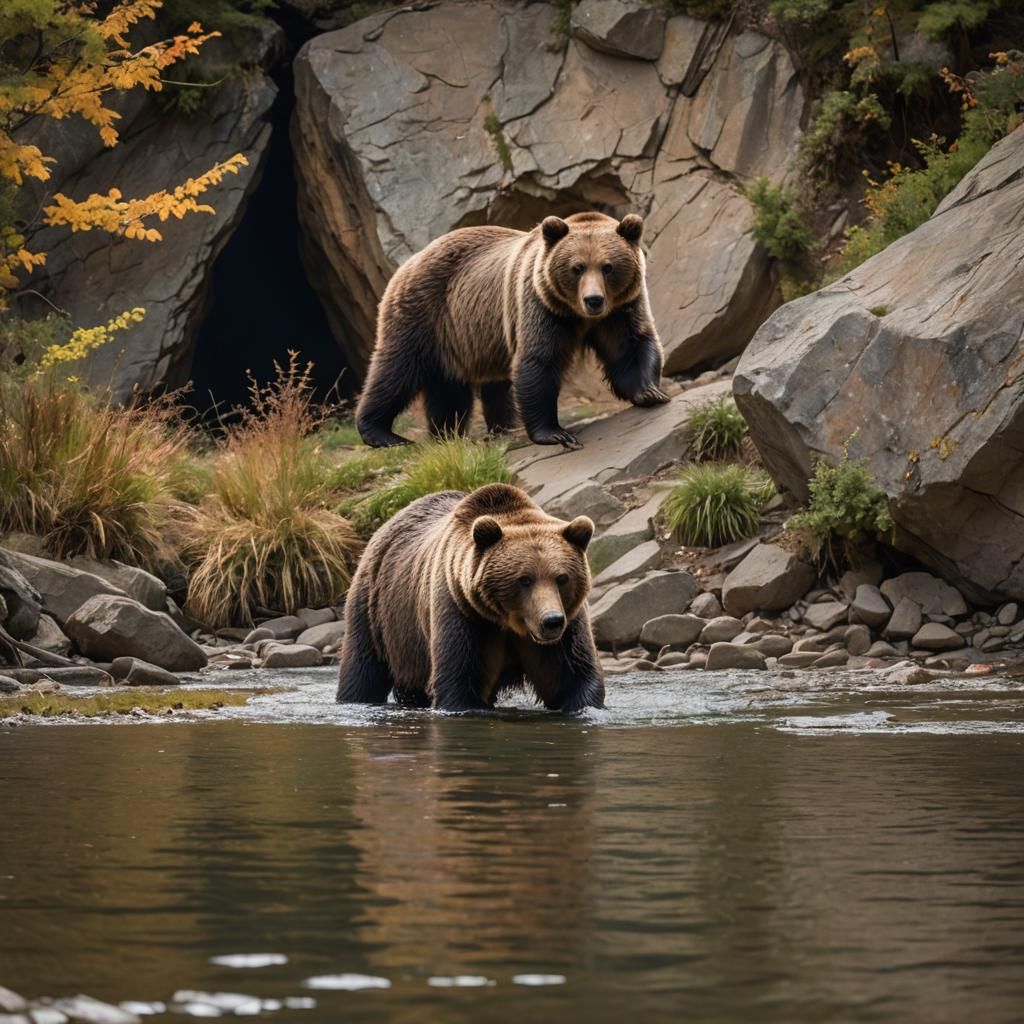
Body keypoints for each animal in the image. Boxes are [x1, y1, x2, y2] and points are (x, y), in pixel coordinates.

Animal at [335, 482, 605, 714]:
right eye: (524, 579)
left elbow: (572, 676)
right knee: (363, 670)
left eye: (562, 577)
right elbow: (458, 682)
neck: (509, 622)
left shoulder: (566, 627)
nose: (551, 621)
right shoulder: (464, 614)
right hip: (378, 613)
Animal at [355, 211, 669, 451]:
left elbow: (629, 346)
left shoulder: (619, 310)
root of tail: (409, 262)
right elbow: (538, 361)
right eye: (577, 267)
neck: (577, 315)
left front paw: (650, 392)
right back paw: (382, 433)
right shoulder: (540, 307)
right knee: (396, 370)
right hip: (424, 313)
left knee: (450, 389)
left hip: (457, 338)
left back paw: (448, 434)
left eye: (608, 267)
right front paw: (555, 433)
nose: (593, 300)